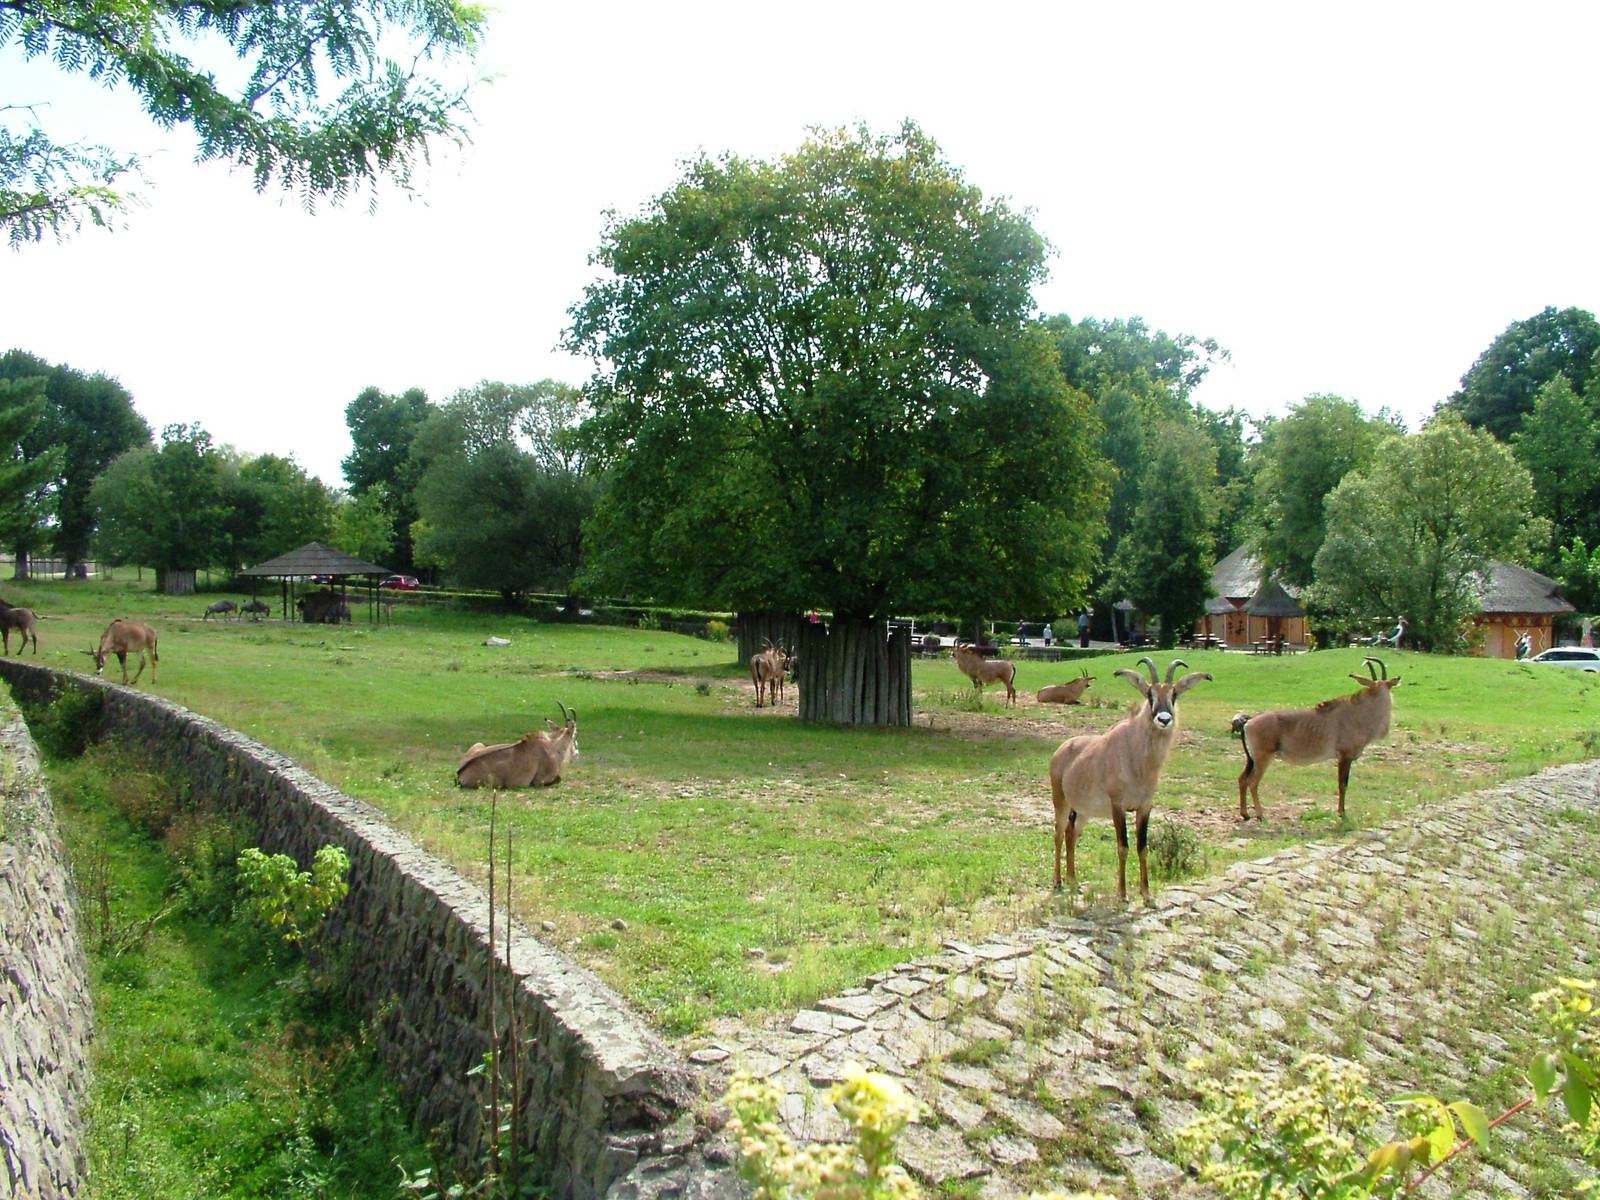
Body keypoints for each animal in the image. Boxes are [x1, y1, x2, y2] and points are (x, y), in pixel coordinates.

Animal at [1049, 657, 1211, 902]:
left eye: (1174, 693)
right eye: (1149, 693)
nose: (1164, 719)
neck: (1138, 758)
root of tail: (1061, 750)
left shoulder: (1145, 807)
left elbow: (1142, 847)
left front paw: (1146, 894)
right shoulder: (1118, 806)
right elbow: (1122, 847)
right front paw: (1122, 894)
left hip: (1083, 811)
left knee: (1071, 833)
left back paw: (1073, 881)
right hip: (1061, 802)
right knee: (1059, 834)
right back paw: (1058, 882)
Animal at [1232, 656, 1401, 822]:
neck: (1357, 714)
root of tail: (1248, 722)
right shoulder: (1345, 757)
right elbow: (1343, 784)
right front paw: (1342, 813)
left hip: (1251, 760)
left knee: (1242, 779)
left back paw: (1245, 814)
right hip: (1263, 758)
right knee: (1252, 782)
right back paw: (1260, 814)